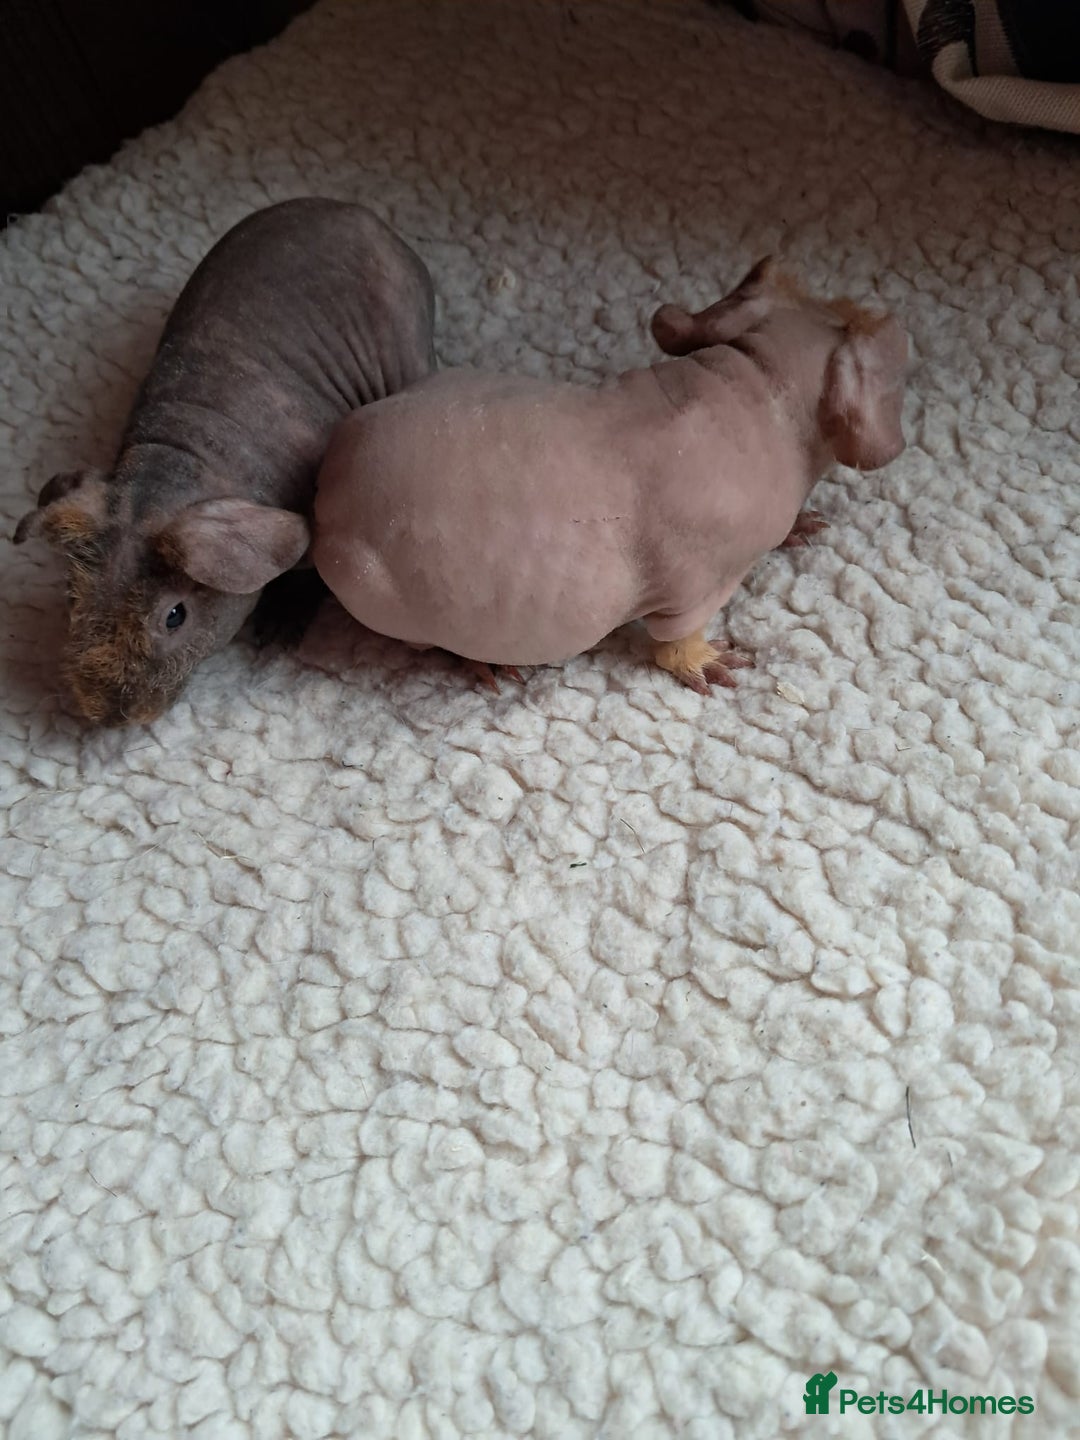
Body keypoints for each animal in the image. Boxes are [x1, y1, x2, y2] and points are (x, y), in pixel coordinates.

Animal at [12, 197, 436, 725]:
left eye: (175, 616)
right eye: (71, 597)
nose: (109, 715)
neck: (178, 459)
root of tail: (362, 213)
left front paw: (279, 628)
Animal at [308, 257, 908, 692]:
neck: (759, 376)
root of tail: (329, 492)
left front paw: (804, 525)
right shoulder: (697, 585)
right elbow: (673, 642)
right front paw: (708, 662)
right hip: (374, 589)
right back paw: (483, 662)